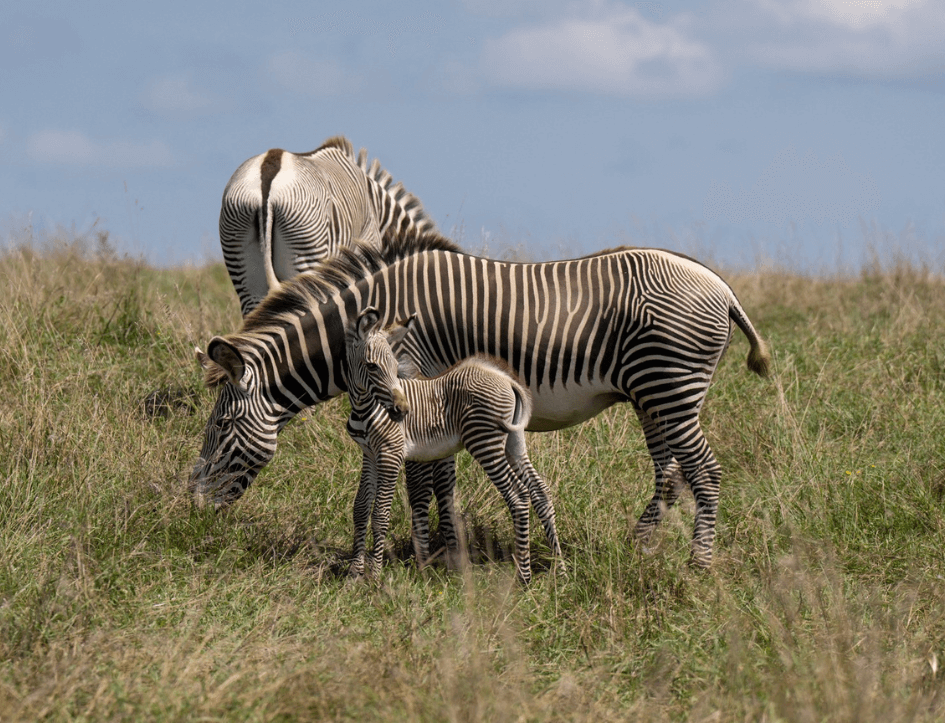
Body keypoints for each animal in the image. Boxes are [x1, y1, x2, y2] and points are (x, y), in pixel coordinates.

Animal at [344, 306, 562, 584]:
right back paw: (561, 569)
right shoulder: (369, 455)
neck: (365, 410)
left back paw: (524, 577)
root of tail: (506, 379)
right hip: (514, 441)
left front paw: (375, 577)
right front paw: (354, 575)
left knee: (518, 495)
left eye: (395, 367)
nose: (403, 411)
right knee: (540, 490)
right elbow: (361, 509)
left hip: (484, 441)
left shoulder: (390, 454)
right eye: (371, 366)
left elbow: (380, 513)